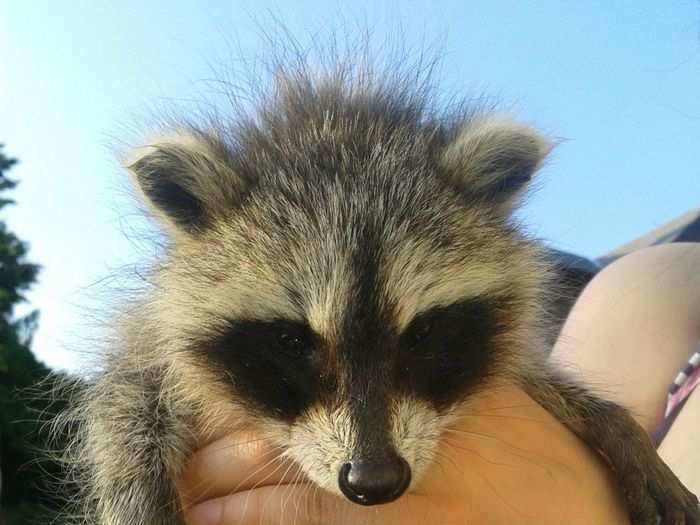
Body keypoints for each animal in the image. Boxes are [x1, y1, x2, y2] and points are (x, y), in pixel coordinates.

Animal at [61, 50, 700, 524]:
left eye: (422, 332)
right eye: (292, 341)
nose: (373, 481)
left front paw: (605, 417)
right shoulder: (152, 329)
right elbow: (125, 396)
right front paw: (135, 489)